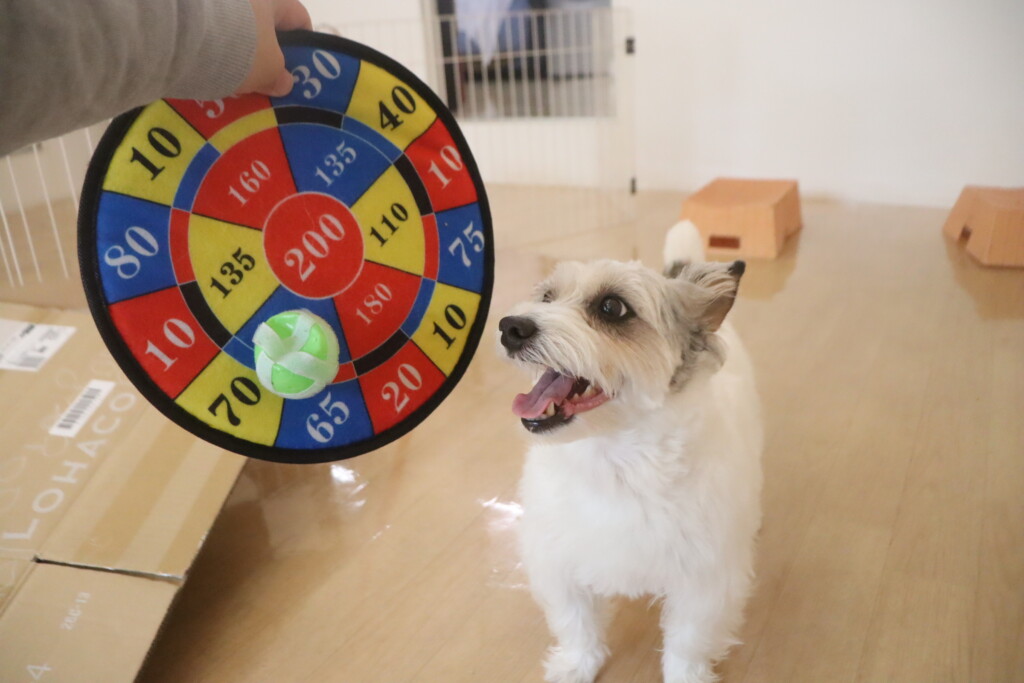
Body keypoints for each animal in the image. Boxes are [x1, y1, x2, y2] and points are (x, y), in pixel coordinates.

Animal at [497, 220, 763, 683]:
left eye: (612, 308)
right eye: (547, 297)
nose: (510, 326)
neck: (615, 460)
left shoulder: (705, 584)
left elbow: (687, 643)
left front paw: (685, 677)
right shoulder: (559, 564)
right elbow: (577, 624)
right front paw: (576, 666)